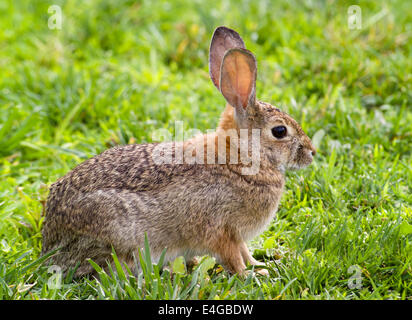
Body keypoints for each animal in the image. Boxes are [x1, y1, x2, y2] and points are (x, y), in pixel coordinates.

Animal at [41, 26, 316, 278]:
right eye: (279, 131)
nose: (312, 152)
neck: (240, 161)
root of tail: (50, 239)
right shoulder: (221, 231)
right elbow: (232, 257)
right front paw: (250, 275)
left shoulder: (237, 236)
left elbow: (245, 252)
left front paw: (259, 266)